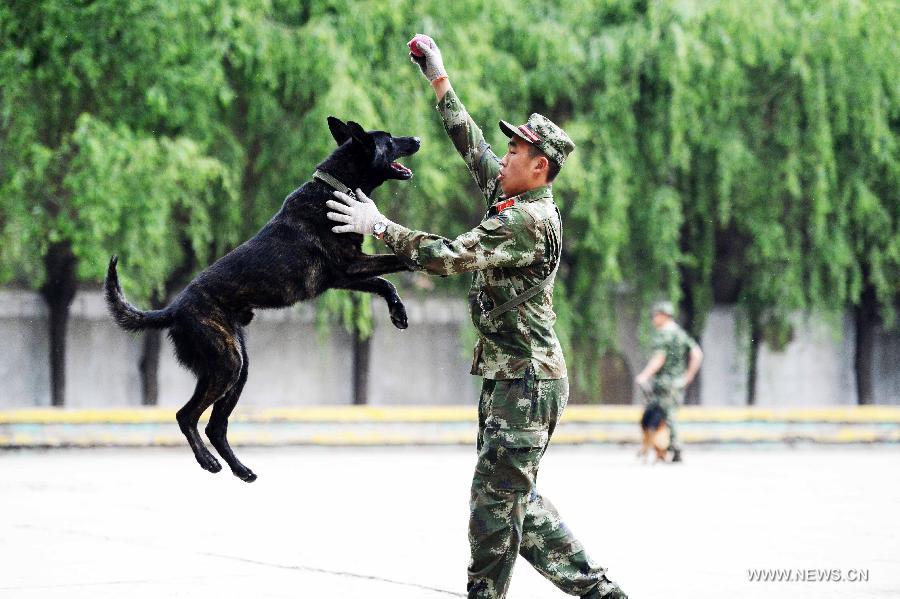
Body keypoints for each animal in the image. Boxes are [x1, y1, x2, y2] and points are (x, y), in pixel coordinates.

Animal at [103, 117, 420, 482]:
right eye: (390, 140)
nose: (418, 138)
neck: (336, 187)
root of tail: (174, 308)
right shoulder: (351, 265)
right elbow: (397, 262)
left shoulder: (344, 276)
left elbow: (385, 282)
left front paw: (399, 310)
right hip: (227, 365)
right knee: (187, 416)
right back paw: (208, 461)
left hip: (236, 370)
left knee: (215, 426)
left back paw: (240, 469)